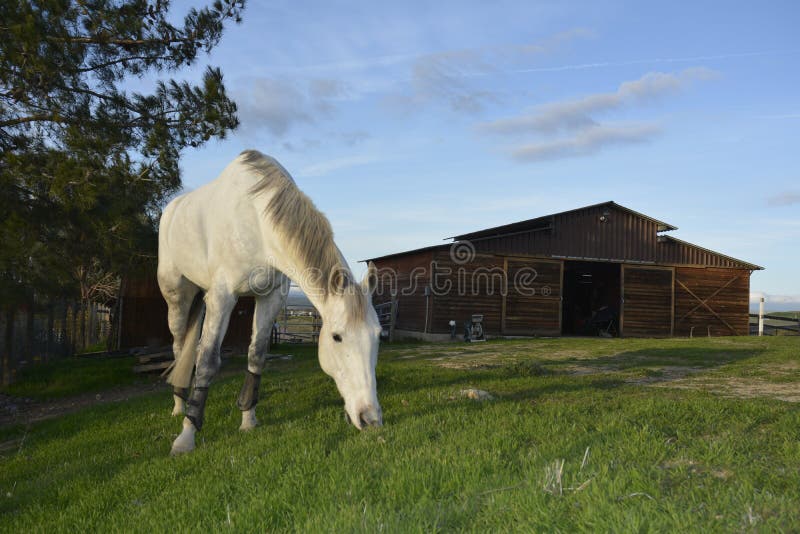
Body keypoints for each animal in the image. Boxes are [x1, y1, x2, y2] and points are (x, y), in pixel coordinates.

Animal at [159, 151, 384, 456]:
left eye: (378, 336)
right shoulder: (222, 295)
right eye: (337, 337)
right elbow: (206, 361)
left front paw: (247, 419)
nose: (370, 418)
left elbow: (257, 355)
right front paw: (187, 434)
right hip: (176, 296)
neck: (256, 220)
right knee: (179, 345)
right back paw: (180, 405)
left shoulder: (272, 296)